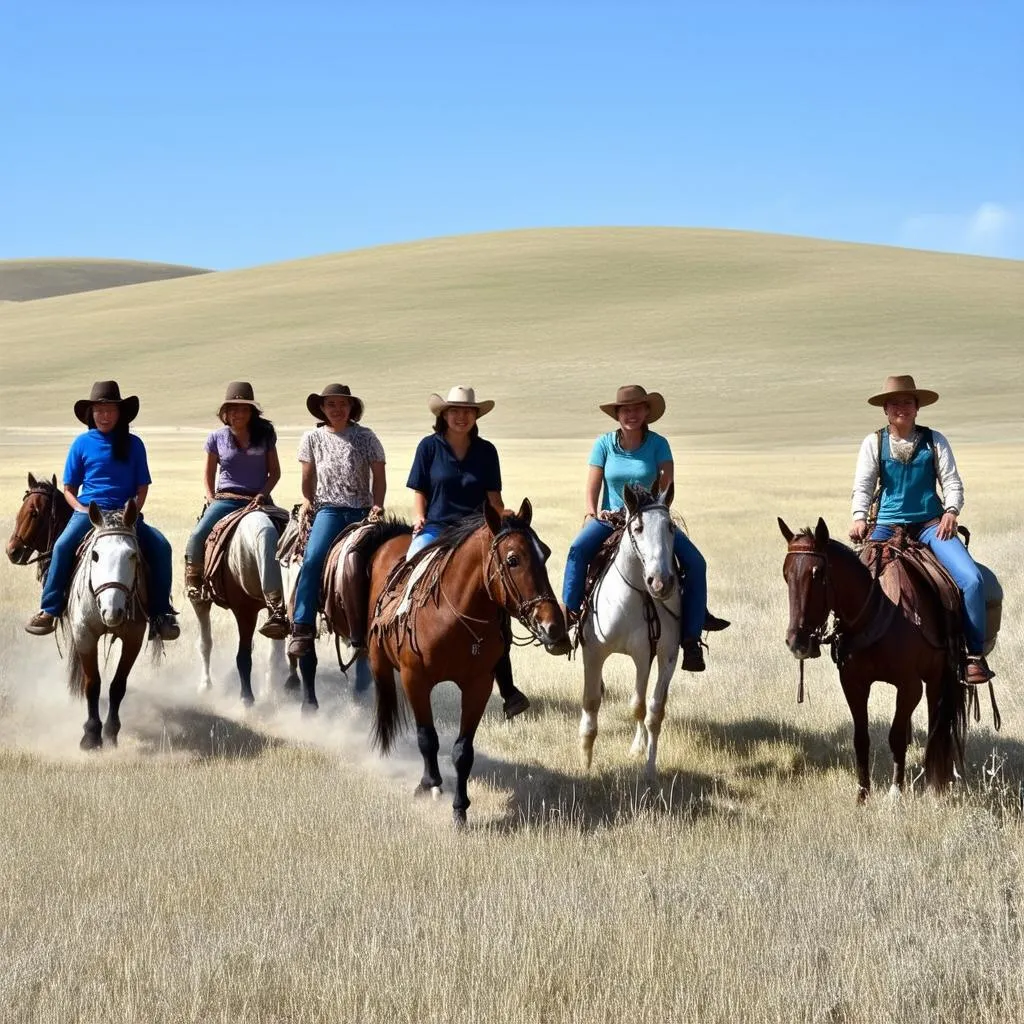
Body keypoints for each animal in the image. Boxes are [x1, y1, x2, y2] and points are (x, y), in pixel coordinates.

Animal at [61, 501, 150, 753]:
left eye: (132, 555)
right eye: (95, 555)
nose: (113, 611)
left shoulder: (134, 639)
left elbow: (117, 685)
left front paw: (111, 733)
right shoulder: (84, 636)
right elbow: (93, 684)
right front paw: (91, 736)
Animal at [190, 503, 294, 704]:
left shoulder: (211, 604)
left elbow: (206, 643)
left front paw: (206, 686)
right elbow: (274, 649)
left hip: (242, 610)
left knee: (242, 654)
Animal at [364, 499, 569, 827]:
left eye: (546, 552)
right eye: (513, 559)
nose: (554, 627)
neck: (452, 618)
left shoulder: (478, 686)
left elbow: (463, 751)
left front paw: (460, 809)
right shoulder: (414, 680)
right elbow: (427, 737)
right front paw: (430, 784)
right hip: (381, 665)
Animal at [577, 483, 679, 778]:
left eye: (671, 527)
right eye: (638, 528)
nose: (661, 582)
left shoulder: (655, 654)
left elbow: (648, 709)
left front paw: (648, 765)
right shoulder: (593, 652)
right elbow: (591, 702)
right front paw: (585, 764)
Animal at [778, 520, 962, 798]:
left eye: (817, 574)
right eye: (786, 575)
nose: (796, 641)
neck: (875, 613)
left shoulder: (910, 687)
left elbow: (896, 736)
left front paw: (895, 792)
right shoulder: (853, 684)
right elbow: (861, 738)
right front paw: (862, 794)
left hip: (937, 677)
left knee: (936, 722)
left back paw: (934, 780)